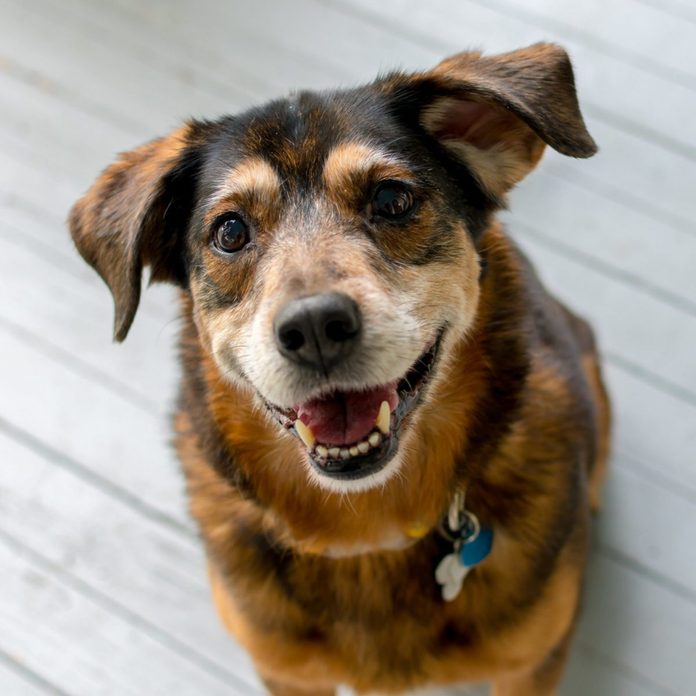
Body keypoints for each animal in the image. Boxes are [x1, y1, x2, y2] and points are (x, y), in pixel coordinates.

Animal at [69, 44, 608, 696]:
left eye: (393, 200)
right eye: (230, 231)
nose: (315, 328)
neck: (367, 525)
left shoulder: (532, 664)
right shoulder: (286, 672)